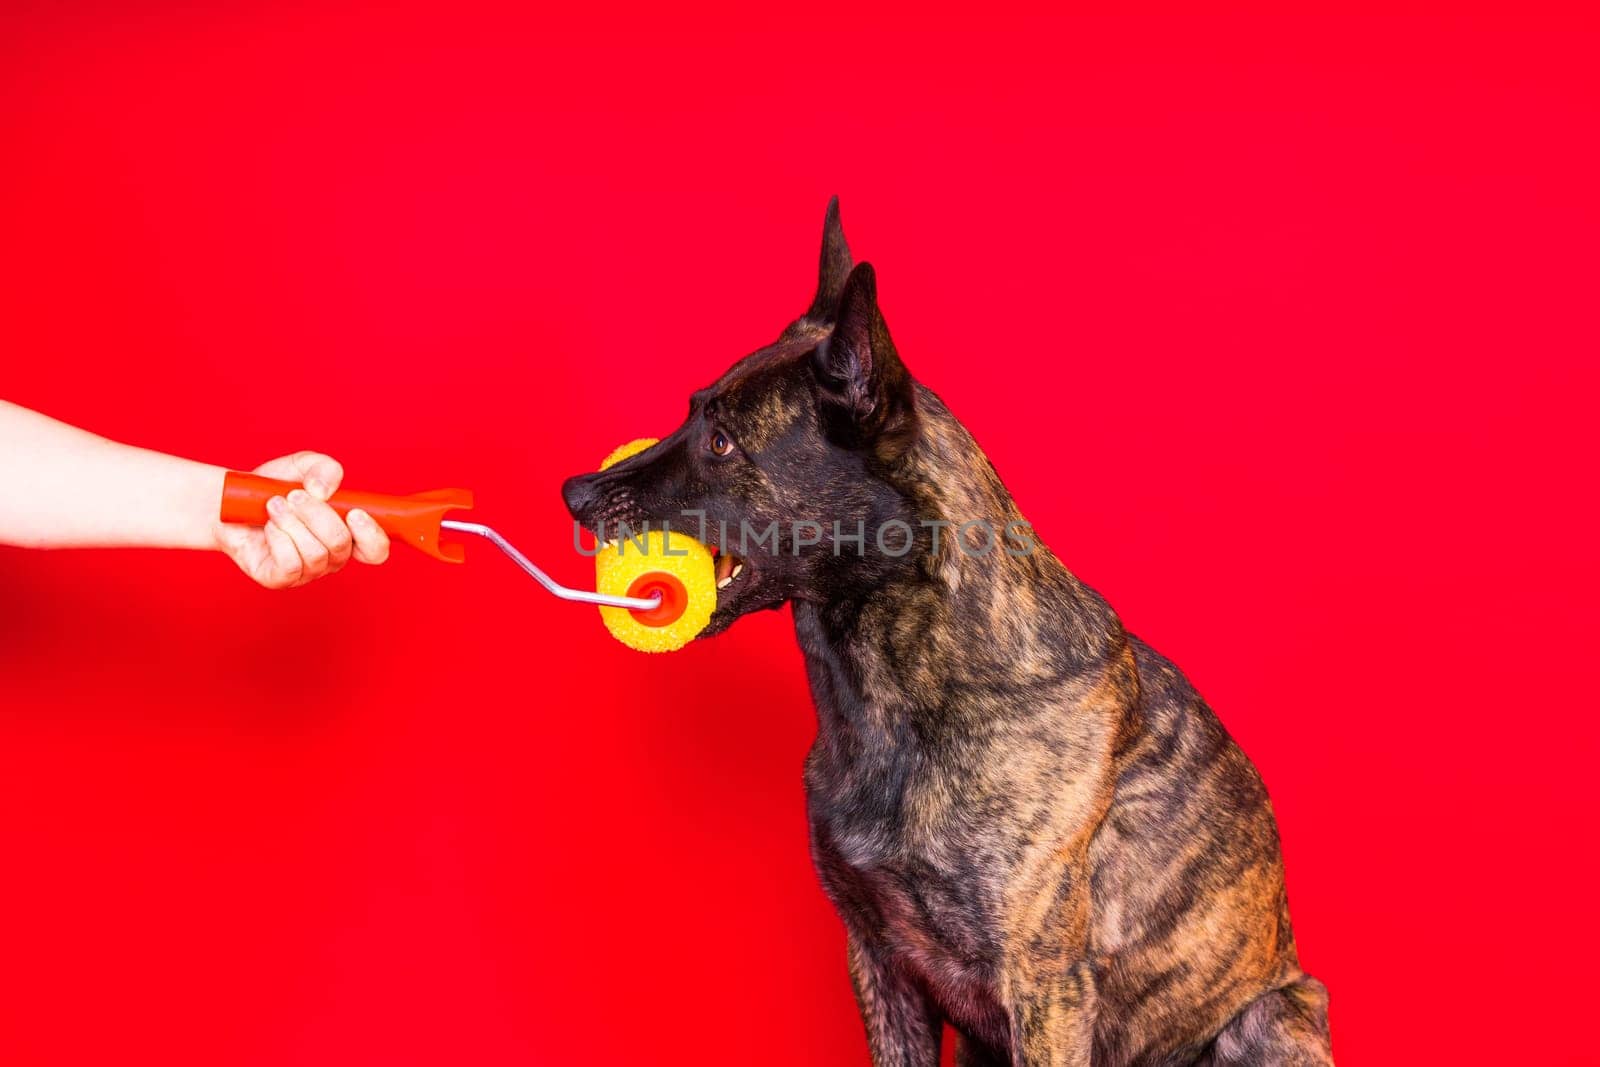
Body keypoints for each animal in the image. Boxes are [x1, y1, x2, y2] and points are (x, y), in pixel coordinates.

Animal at [566, 202, 1337, 1067]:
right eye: (694, 412)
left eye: (724, 441)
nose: (575, 492)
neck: (903, 688)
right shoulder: (880, 959)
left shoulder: (1045, 984)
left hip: (1269, 1015)